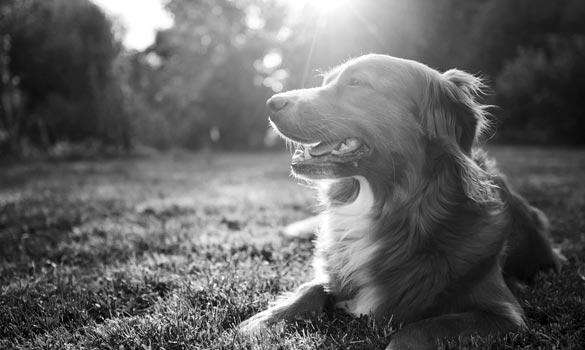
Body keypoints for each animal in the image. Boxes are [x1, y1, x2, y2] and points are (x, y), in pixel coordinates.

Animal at [237, 54, 560, 350]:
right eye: (326, 81)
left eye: (357, 83)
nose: (271, 103)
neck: (396, 207)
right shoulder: (335, 267)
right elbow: (313, 287)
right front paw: (266, 319)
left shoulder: (504, 314)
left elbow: (418, 330)